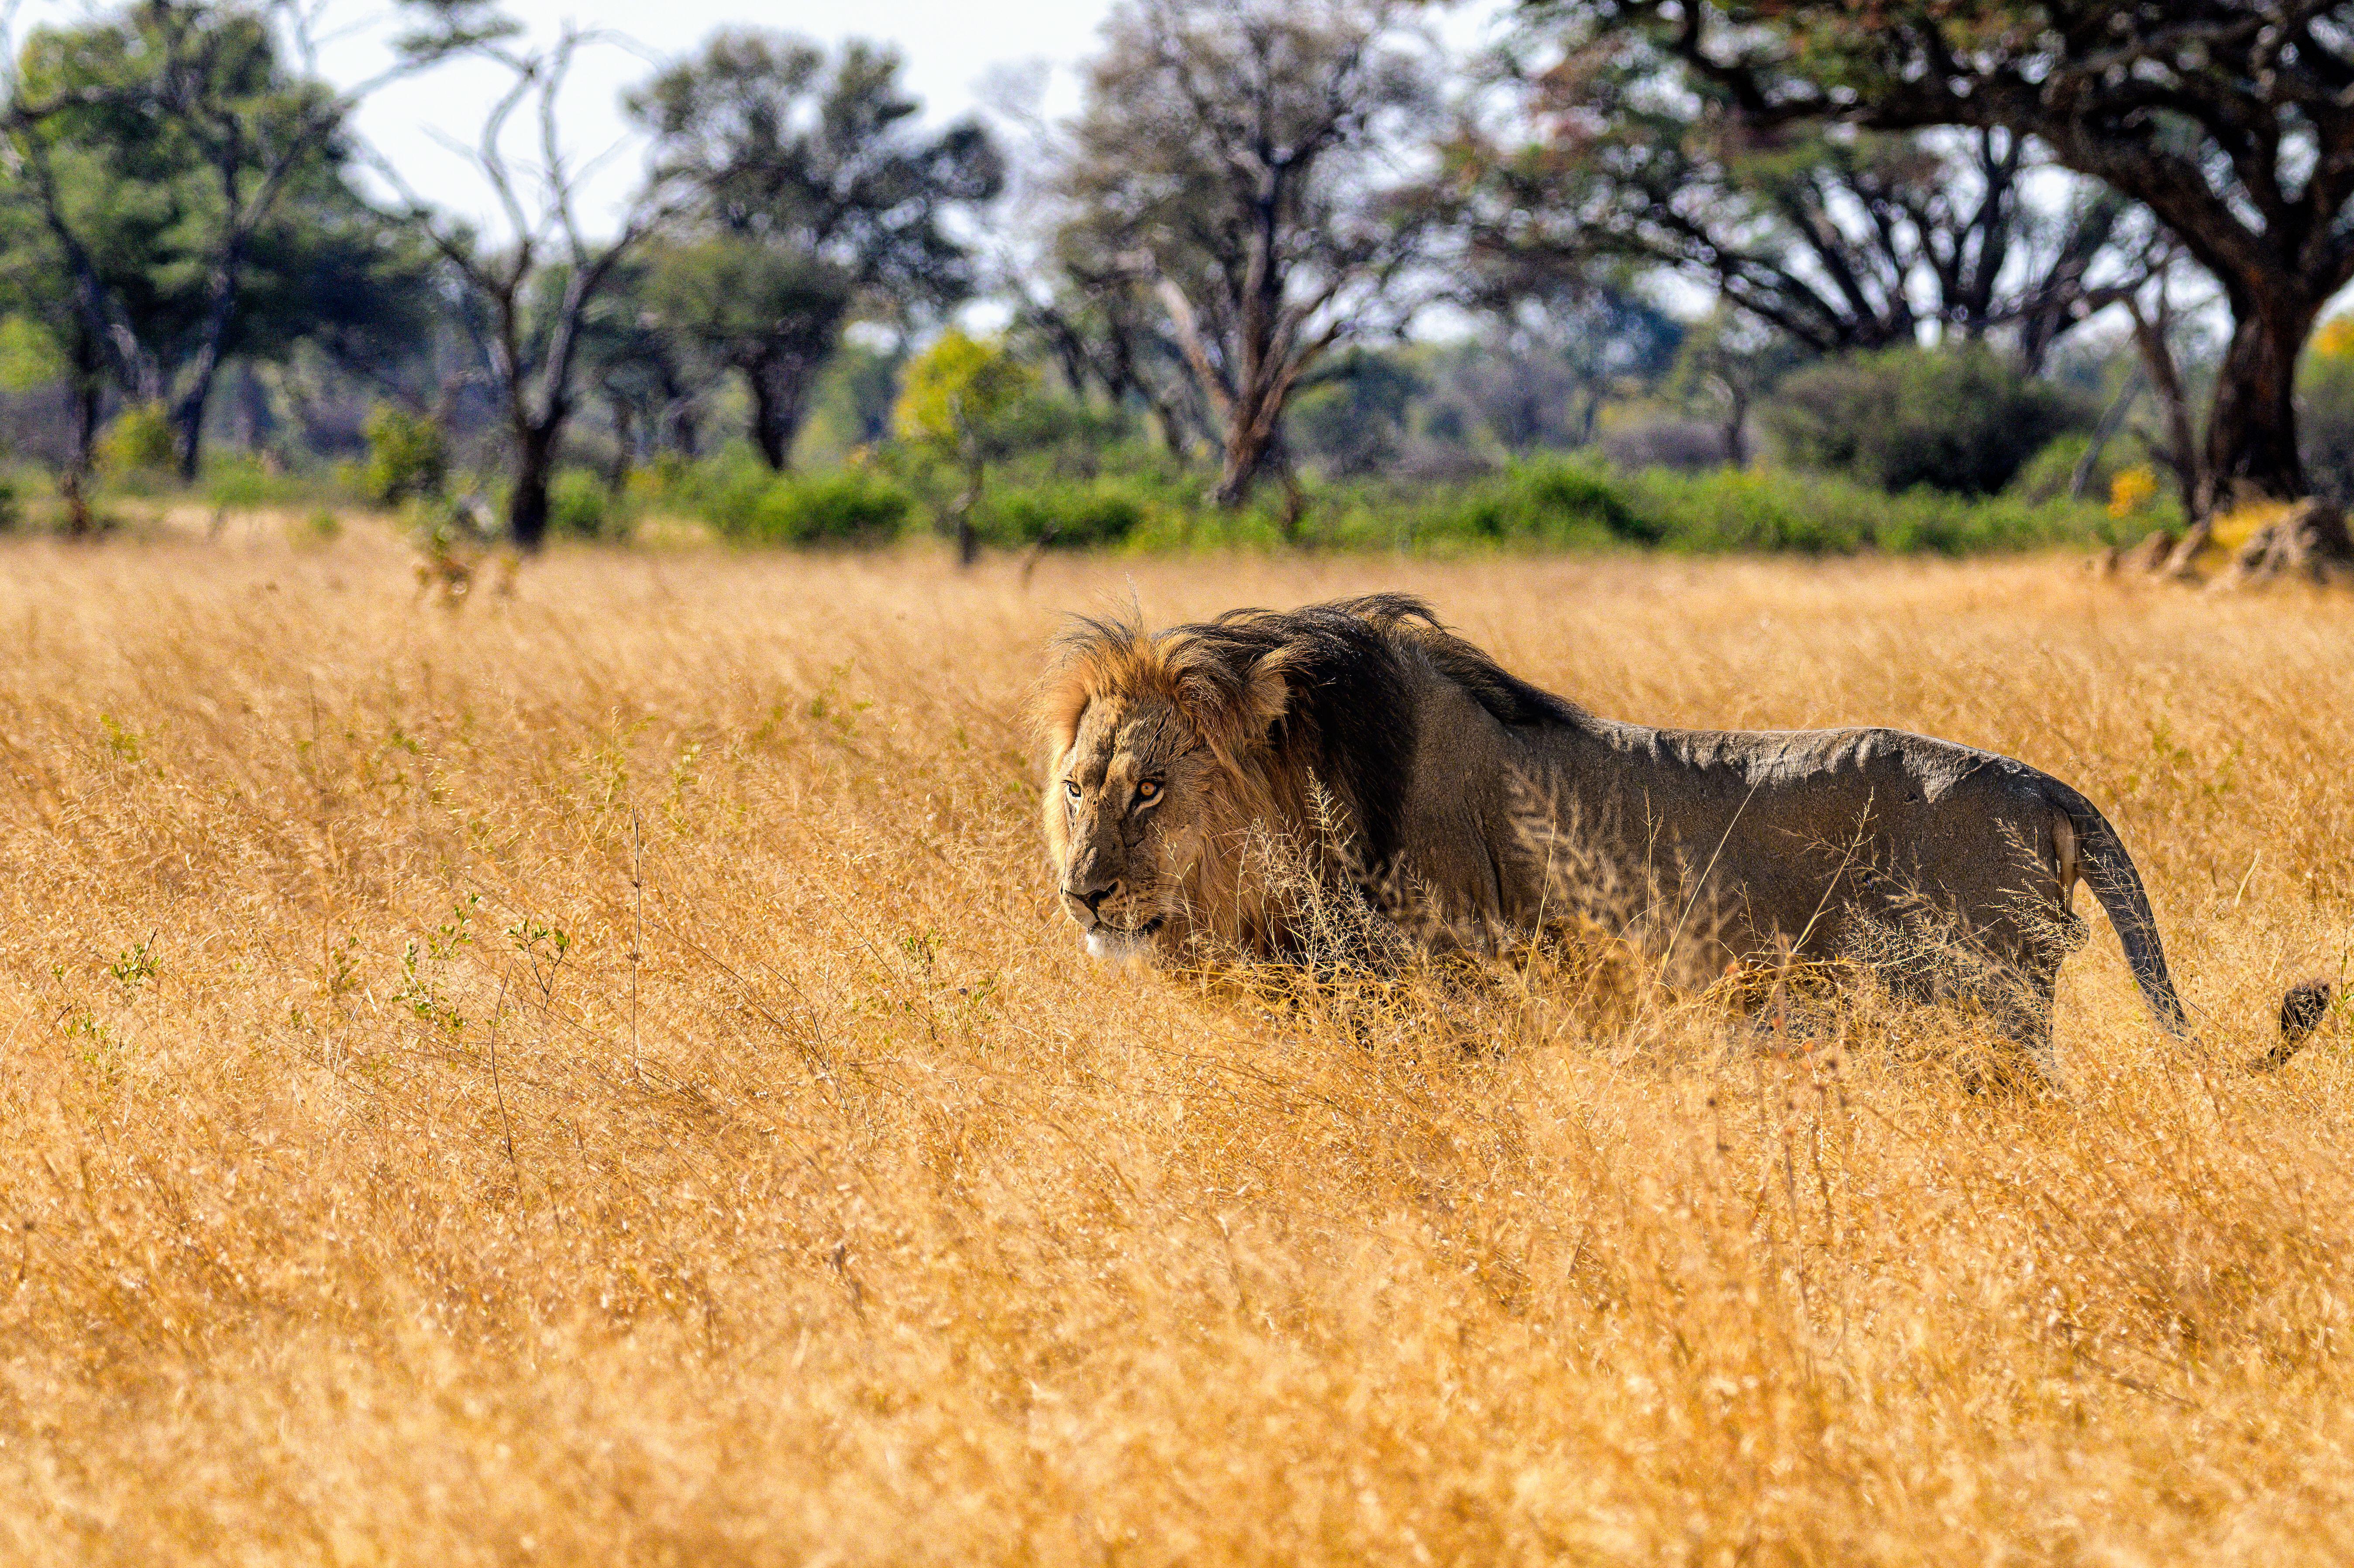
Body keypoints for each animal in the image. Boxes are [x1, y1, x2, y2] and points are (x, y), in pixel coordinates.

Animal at [1040, 594, 2331, 1080]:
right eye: (1077, 788)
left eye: (1150, 792)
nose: (1084, 897)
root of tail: (2043, 786)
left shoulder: (1455, 1015)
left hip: (1987, 1015)